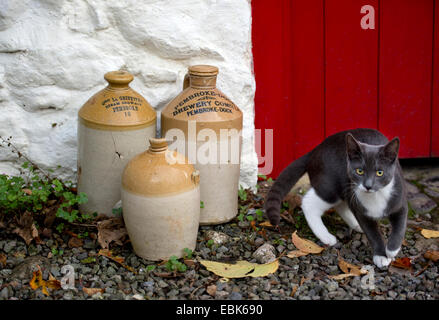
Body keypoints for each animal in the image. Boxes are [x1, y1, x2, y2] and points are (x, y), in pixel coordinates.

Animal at [264, 129, 410, 268]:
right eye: (359, 171)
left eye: (380, 172)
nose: (368, 186)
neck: (375, 196)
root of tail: (315, 150)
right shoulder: (361, 211)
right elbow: (372, 233)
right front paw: (381, 255)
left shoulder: (400, 202)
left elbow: (400, 227)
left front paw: (392, 249)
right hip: (330, 187)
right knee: (309, 203)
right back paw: (326, 236)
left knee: (341, 205)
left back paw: (355, 225)